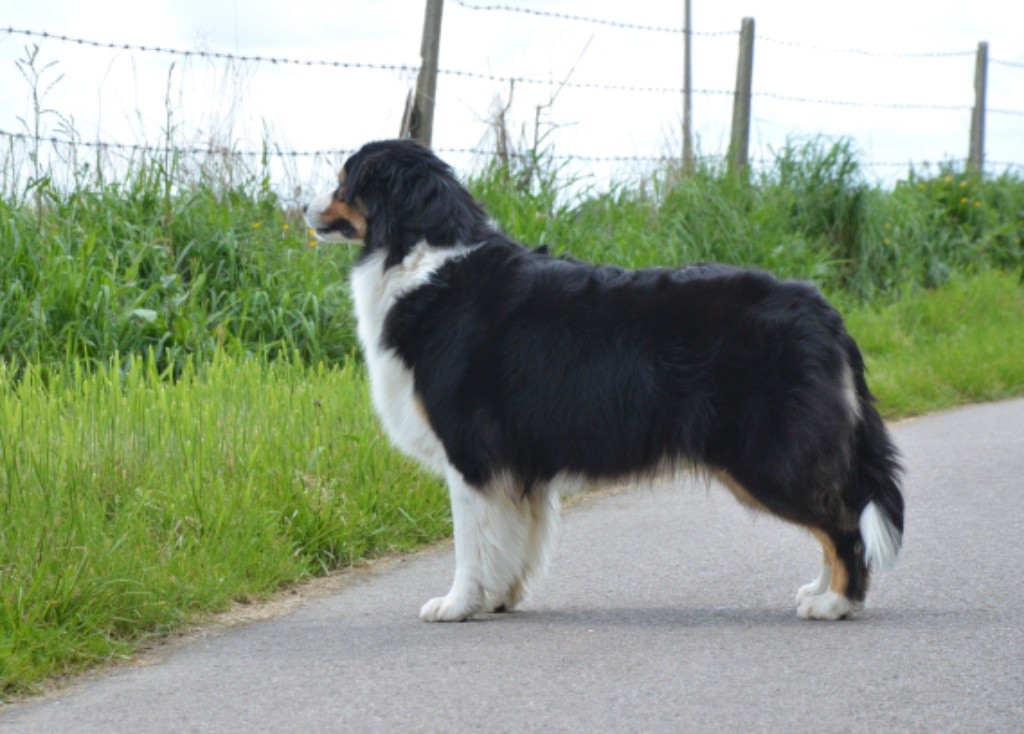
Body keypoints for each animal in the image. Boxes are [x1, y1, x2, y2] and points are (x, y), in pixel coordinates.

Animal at [305, 137, 905, 618]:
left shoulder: (472, 455)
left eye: (345, 179)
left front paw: (456, 605)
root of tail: (820, 309)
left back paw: (837, 603)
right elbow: (514, 541)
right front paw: (499, 600)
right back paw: (819, 591)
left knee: (843, 523)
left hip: (767, 452)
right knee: (835, 517)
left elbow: (471, 543)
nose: (301, 208)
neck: (423, 256)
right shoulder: (515, 466)